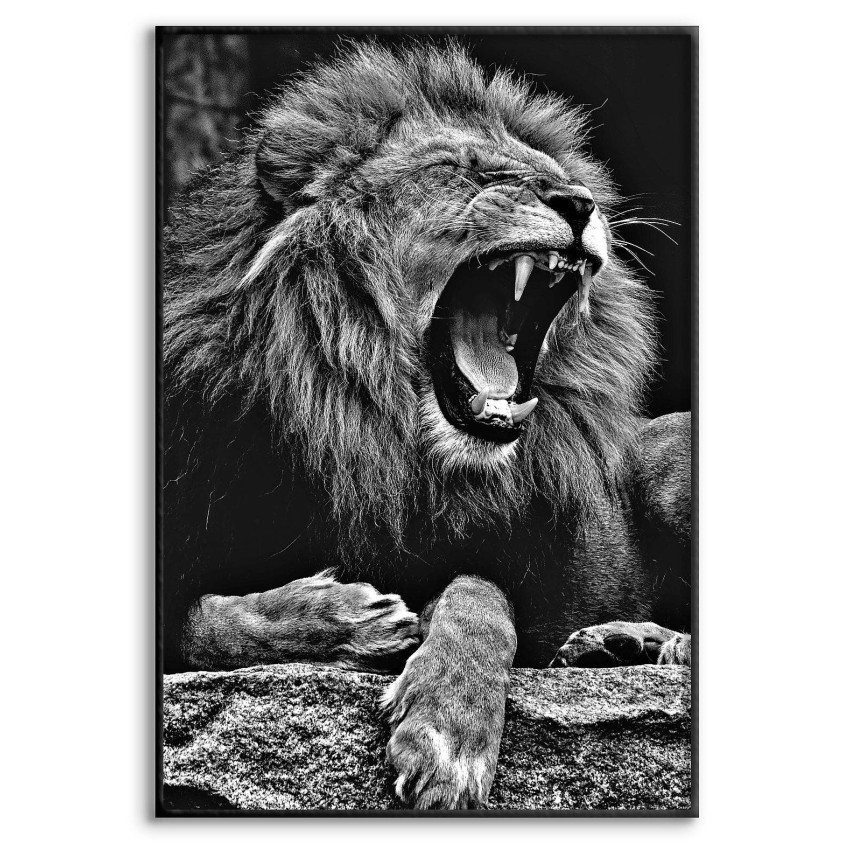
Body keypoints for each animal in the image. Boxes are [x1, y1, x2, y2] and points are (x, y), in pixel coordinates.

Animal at [162, 41, 691, 810]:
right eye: (460, 168)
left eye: (562, 178)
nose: (579, 203)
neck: (369, 435)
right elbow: (201, 624)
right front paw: (346, 619)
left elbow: (477, 594)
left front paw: (448, 732)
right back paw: (615, 644)